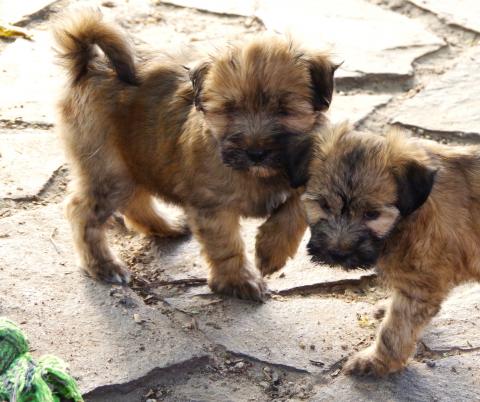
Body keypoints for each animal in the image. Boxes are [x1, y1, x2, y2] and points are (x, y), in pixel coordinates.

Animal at [53, 9, 338, 300]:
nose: (256, 153)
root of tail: (90, 65)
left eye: (284, 110)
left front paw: (272, 250)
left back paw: (166, 226)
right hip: (107, 168)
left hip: (135, 159)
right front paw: (240, 280)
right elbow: (226, 245)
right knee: (83, 212)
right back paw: (104, 265)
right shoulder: (212, 204)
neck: (257, 175)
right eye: (230, 109)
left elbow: (296, 208)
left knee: (135, 200)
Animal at [294, 123, 480, 376]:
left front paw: (375, 361)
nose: (338, 253)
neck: (410, 216)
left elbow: (393, 332)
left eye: (372, 214)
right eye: (323, 205)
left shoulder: (418, 288)